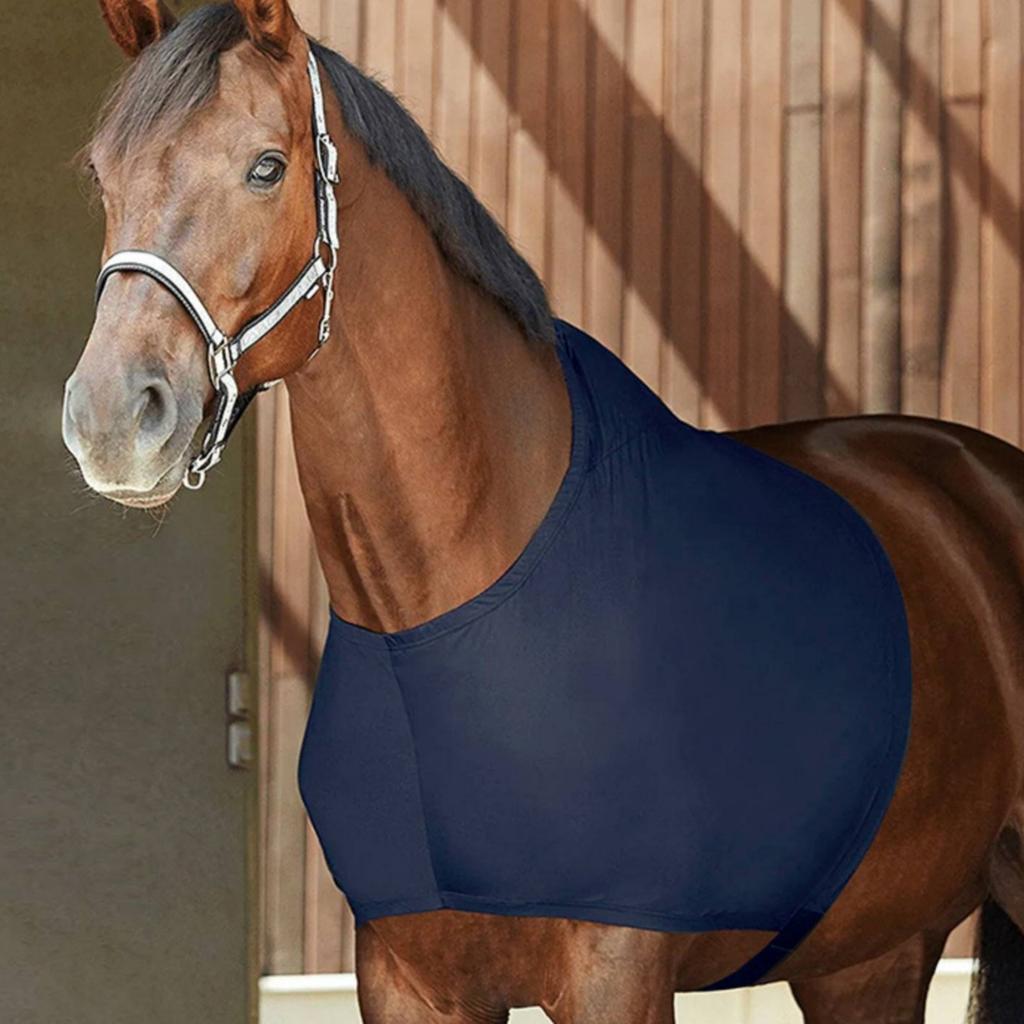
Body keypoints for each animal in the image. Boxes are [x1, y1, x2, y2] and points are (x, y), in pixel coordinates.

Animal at [62, 2, 1024, 1021]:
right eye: (103, 175)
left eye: (265, 166)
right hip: (868, 958)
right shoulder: (408, 982)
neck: (447, 615)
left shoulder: (616, 972)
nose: (112, 417)